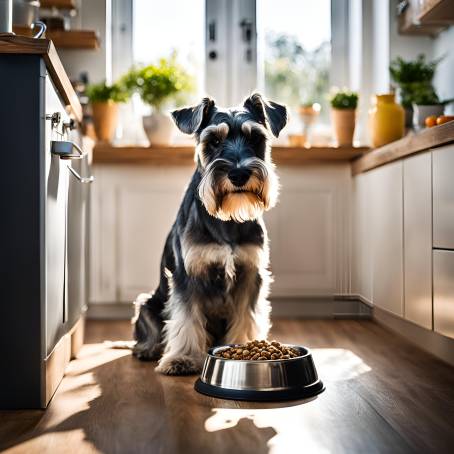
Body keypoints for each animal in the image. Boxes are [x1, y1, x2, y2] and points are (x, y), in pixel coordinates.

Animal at [131, 93, 288, 376]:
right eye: (213, 141)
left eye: (255, 138)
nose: (238, 174)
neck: (226, 220)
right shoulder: (188, 276)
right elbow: (186, 319)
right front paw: (182, 358)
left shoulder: (250, 275)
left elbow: (246, 316)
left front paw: (243, 348)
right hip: (147, 303)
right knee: (150, 329)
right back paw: (148, 349)